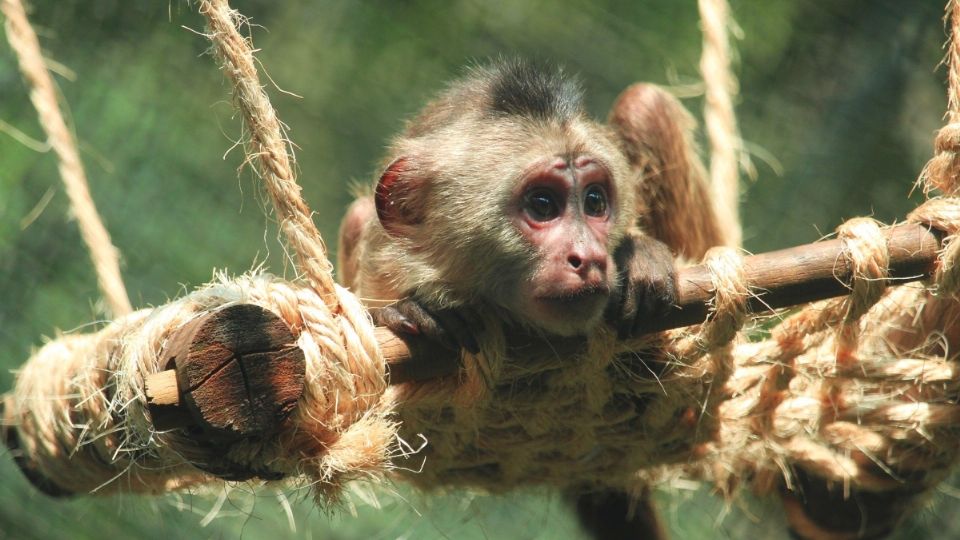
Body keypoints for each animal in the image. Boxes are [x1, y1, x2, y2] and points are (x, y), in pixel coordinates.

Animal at [342, 60, 724, 540]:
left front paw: (639, 256)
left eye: (594, 201)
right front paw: (410, 309)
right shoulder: (381, 264)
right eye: (543, 204)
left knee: (644, 104)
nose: (590, 257)